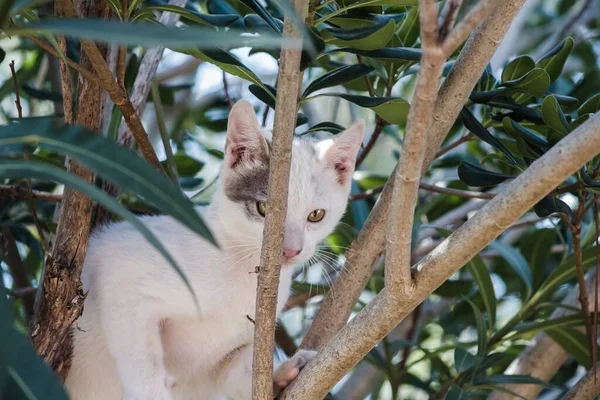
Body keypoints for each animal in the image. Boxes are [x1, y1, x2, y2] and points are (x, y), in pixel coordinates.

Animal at [63, 98, 364, 398]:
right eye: (263, 208)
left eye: (316, 215)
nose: (290, 250)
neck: (243, 270)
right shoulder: (119, 270)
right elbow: (142, 359)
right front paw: (152, 391)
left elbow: (231, 376)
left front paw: (282, 373)